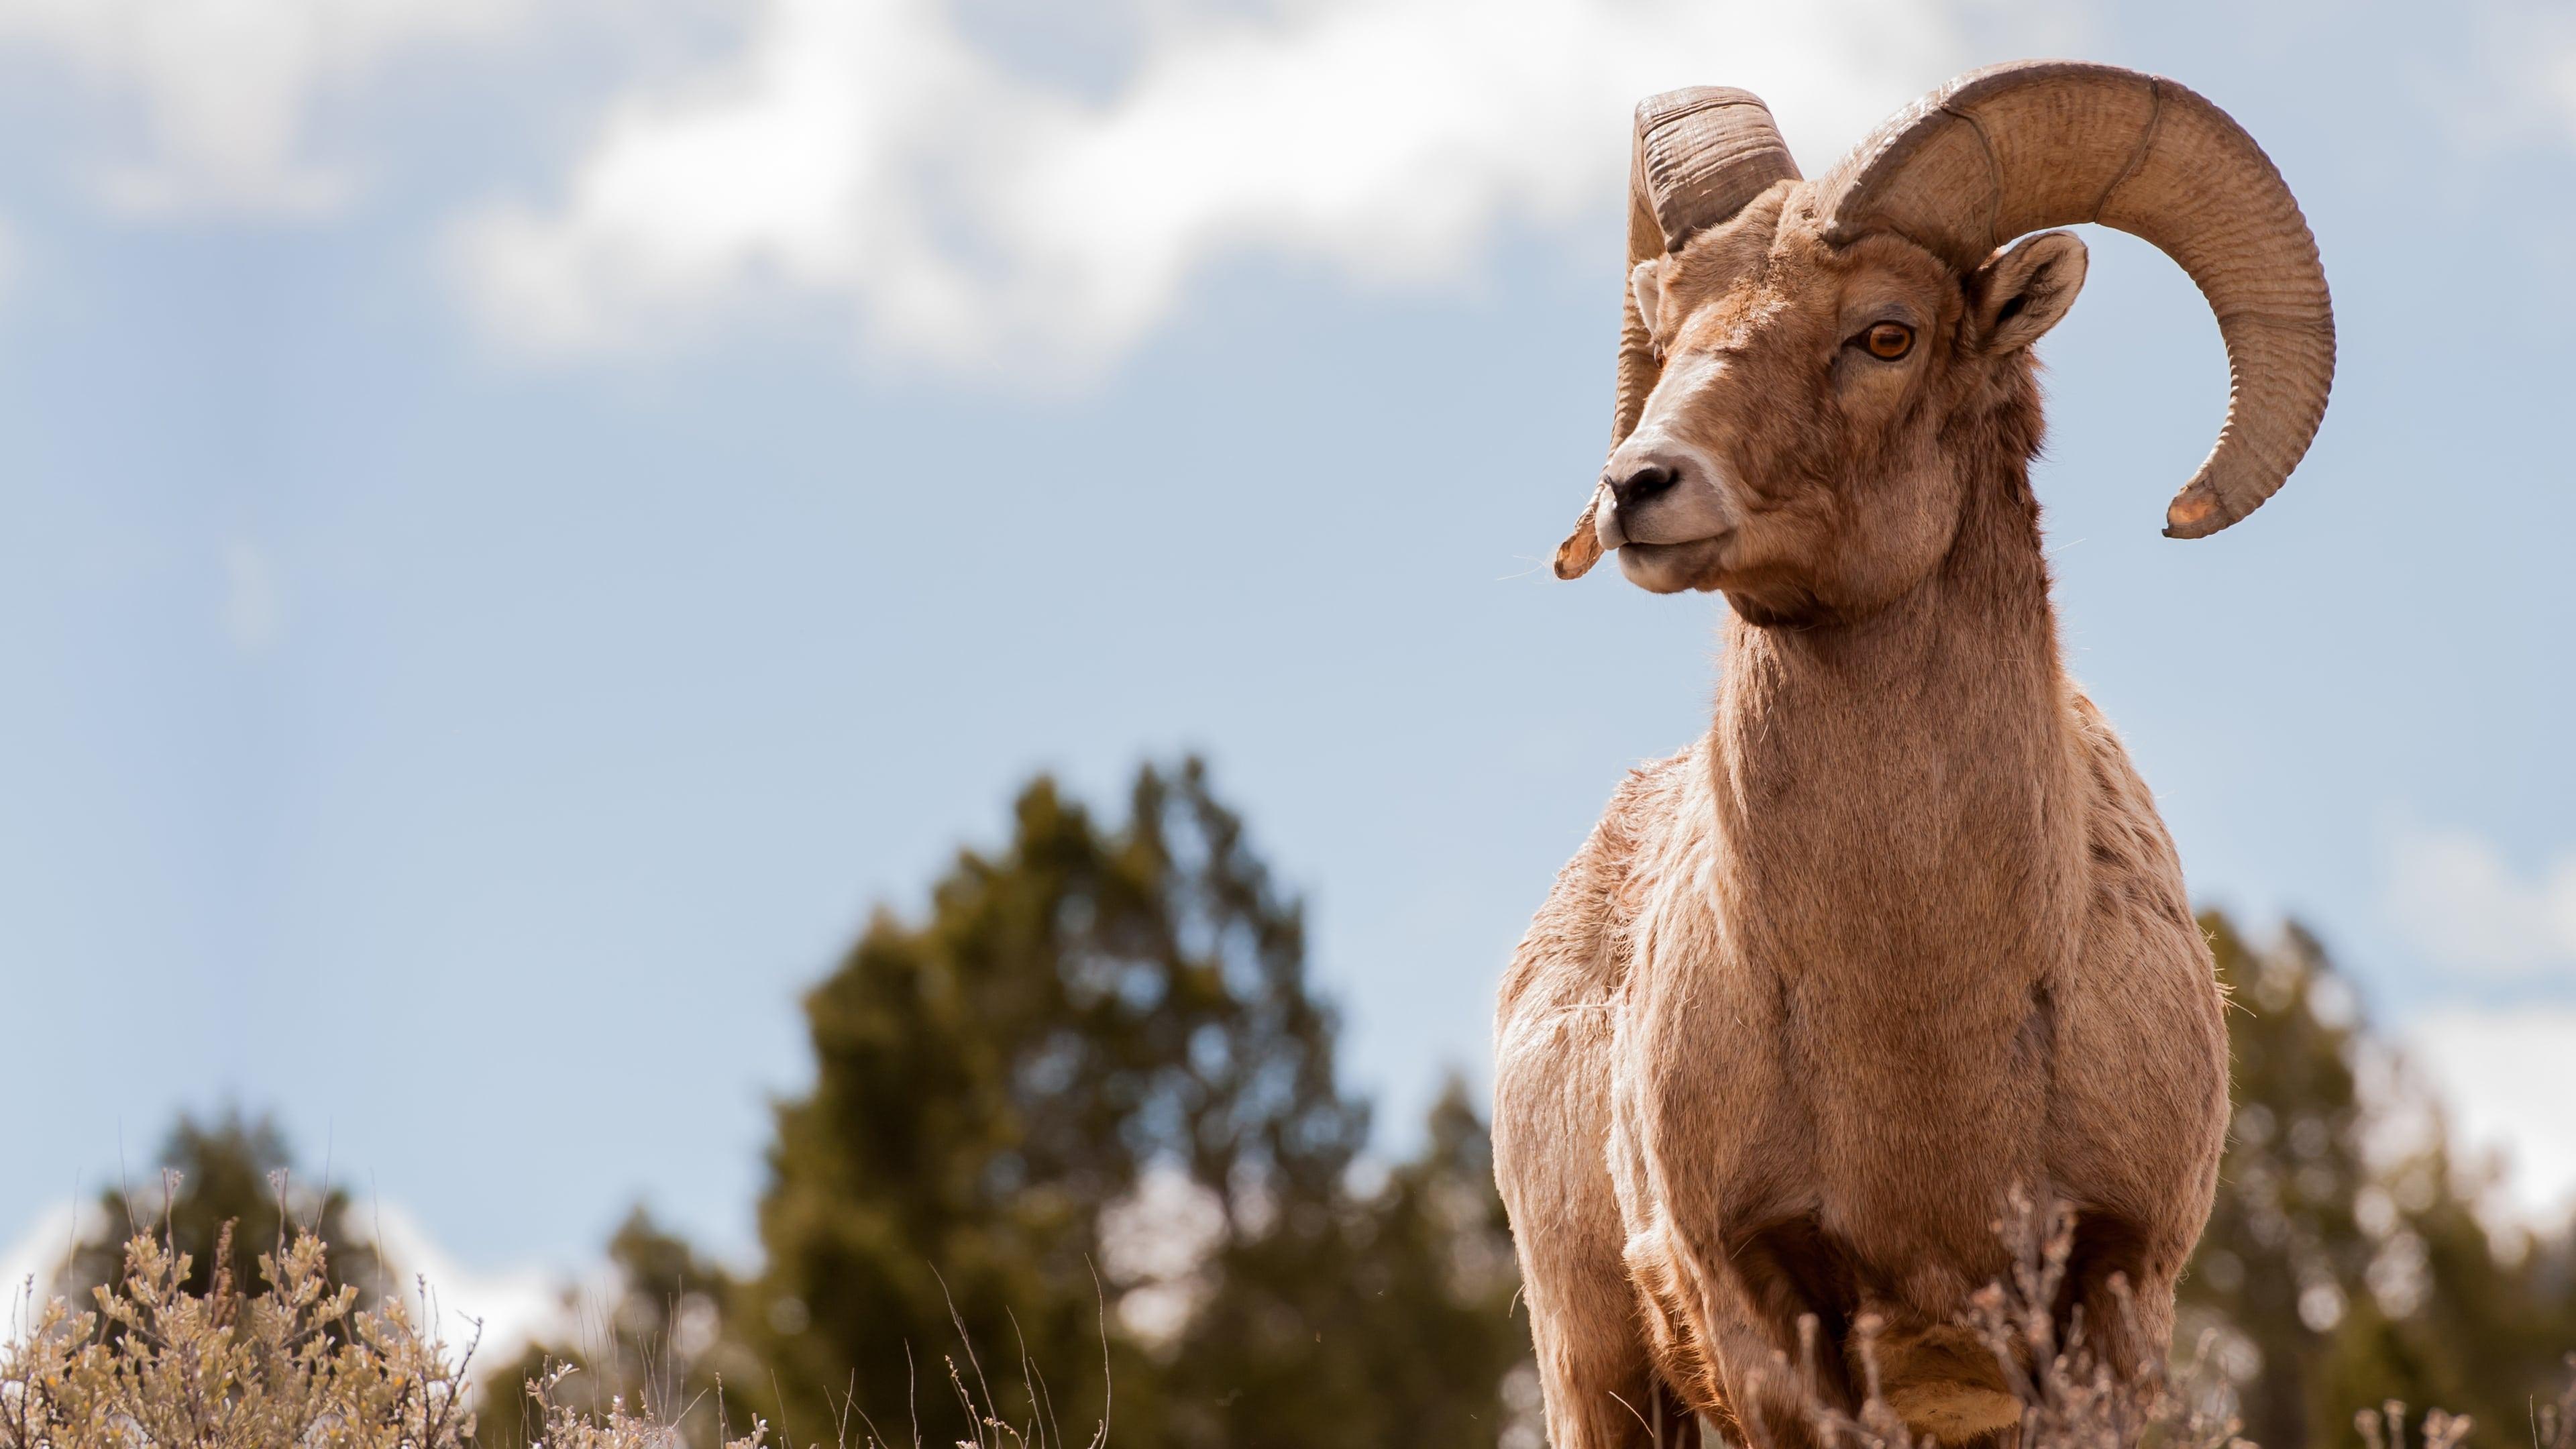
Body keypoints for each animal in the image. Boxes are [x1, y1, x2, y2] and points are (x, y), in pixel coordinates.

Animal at [1494, 59, 2339, 1444]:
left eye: (1885, 334)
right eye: (1665, 324)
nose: (1637, 490)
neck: (1926, 1040)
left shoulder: (2108, 1299)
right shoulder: (1771, 1318)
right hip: (1599, 1371)